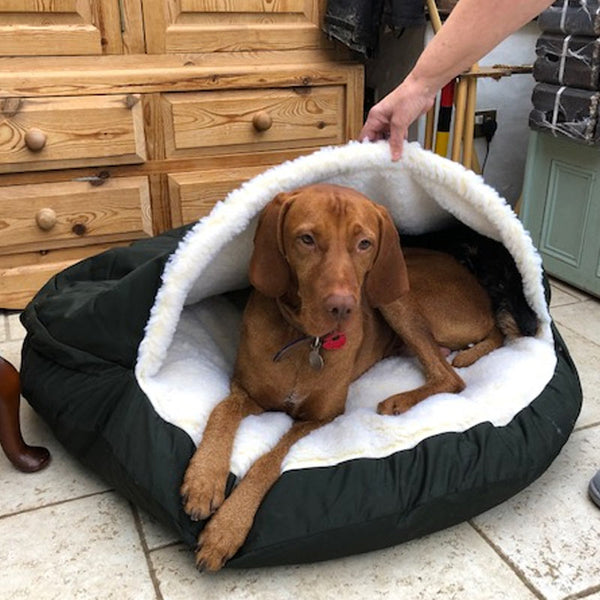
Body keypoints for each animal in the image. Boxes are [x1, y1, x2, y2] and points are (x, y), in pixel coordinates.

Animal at [180, 184, 504, 572]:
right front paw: (204, 480)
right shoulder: (245, 391)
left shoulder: (321, 416)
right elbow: (221, 412)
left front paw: (226, 529)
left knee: (451, 377)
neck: (305, 340)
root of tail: (487, 303)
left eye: (364, 243)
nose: (342, 308)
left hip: (396, 296)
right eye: (306, 239)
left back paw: (398, 400)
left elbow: (266, 463)